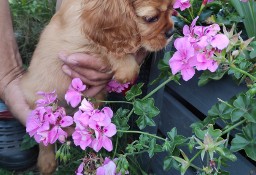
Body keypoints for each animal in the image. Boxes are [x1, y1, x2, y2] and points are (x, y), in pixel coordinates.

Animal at [21, 0, 175, 174]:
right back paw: (47, 162)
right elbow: (105, 48)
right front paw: (127, 68)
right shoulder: (75, 44)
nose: (171, 32)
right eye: (151, 19)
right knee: (43, 136)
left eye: (172, 9)